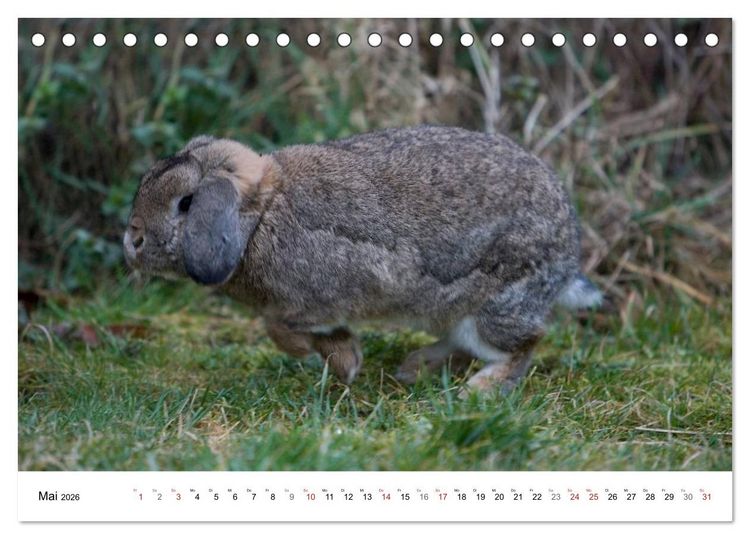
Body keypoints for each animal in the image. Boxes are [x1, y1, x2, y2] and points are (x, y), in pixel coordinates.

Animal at [124, 126, 601, 394]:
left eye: (186, 203)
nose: (132, 240)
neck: (261, 216)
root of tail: (567, 253)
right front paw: (347, 362)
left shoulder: (318, 298)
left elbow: (279, 328)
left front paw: (335, 362)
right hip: (448, 311)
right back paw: (414, 368)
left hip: (497, 303)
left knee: (524, 343)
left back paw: (479, 391)